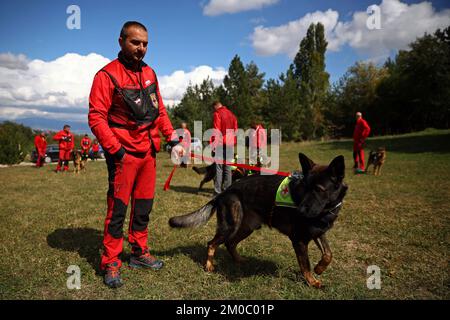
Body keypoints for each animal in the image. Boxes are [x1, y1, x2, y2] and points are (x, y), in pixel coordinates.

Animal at [169, 152, 348, 288]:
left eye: (319, 190)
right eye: (305, 188)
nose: (300, 211)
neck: (326, 210)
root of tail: (224, 192)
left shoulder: (318, 232)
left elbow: (328, 253)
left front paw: (319, 269)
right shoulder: (299, 240)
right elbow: (305, 264)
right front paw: (312, 281)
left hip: (248, 227)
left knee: (230, 243)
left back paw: (239, 260)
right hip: (231, 226)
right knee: (212, 243)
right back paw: (209, 266)